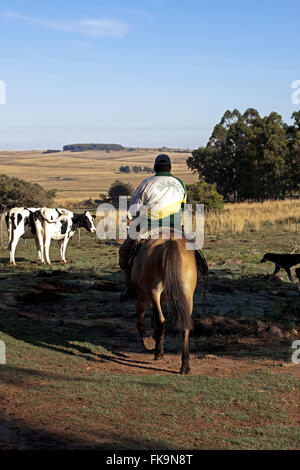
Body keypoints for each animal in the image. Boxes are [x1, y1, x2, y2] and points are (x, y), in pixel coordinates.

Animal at [131, 232, 202, 374]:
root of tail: (170, 243)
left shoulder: (141, 293)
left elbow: (142, 319)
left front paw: (147, 341)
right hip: (186, 295)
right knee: (185, 325)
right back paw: (185, 365)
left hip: (153, 292)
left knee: (161, 320)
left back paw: (158, 352)